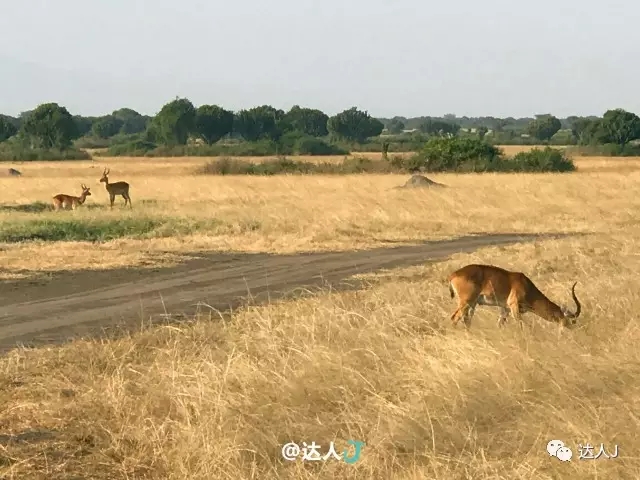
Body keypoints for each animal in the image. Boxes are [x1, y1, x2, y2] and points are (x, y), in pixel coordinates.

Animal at [448, 262, 584, 330]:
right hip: (466, 302)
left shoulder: (505, 309)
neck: (527, 287)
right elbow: (521, 326)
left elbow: (499, 325)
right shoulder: (514, 307)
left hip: (472, 304)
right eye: (567, 321)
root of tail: (454, 274)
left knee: (466, 320)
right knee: (454, 318)